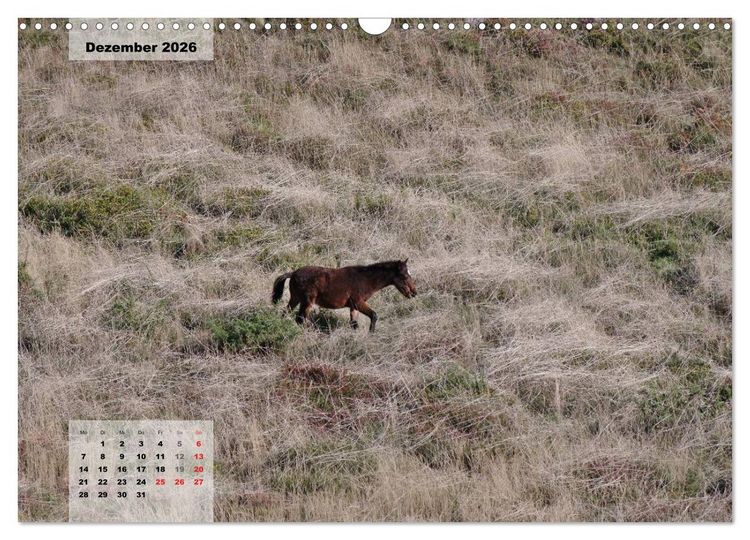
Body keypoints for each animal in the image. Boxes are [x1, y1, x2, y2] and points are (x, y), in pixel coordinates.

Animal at [271, 259, 417, 332]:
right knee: (300, 319)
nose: (414, 293)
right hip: (307, 302)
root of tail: (293, 273)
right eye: (404, 276)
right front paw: (371, 334)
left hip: (295, 299)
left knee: (286, 312)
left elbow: (354, 324)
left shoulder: (354, 306)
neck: (365, 279)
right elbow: (374, 315)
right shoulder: (359, 302)